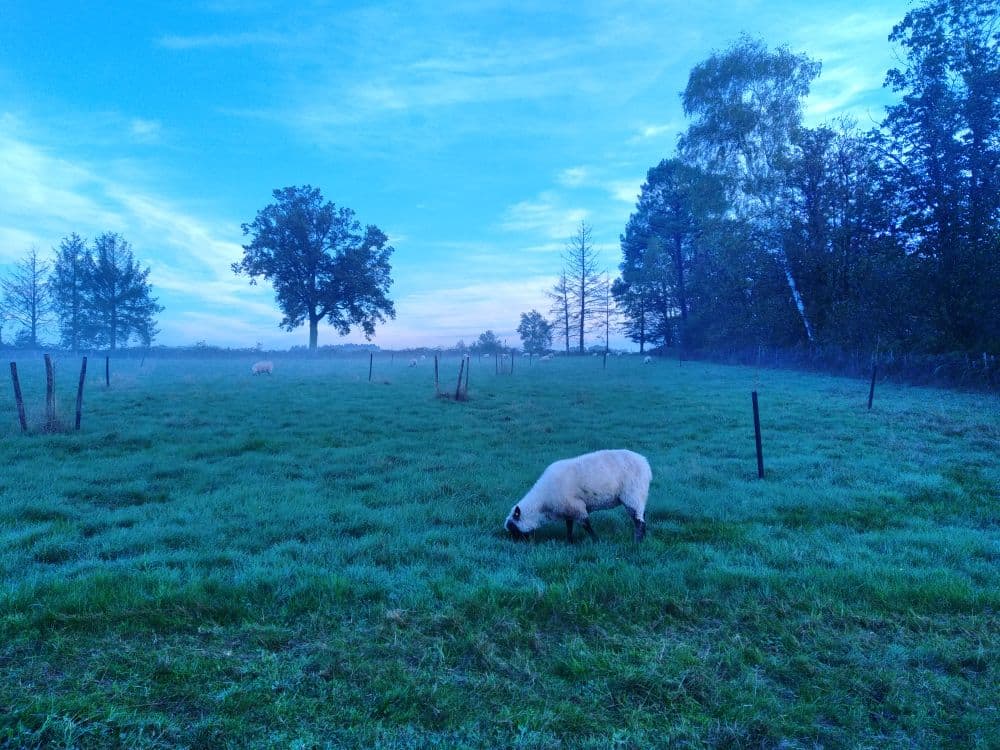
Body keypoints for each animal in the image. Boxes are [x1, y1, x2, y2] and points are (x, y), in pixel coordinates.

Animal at [504, 449, 652, 543]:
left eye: (513, 528)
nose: (516, 545)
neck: (542, 504)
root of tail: (645, 464)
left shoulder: (576, 506)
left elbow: (586, 525)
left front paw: (596, 540)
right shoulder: (567, 509)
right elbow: (569, 526)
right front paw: (569, 541)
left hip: (633, 494)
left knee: (639, 521)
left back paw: (637, 541)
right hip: (639, 495)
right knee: (641, 516)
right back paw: (643, 538)